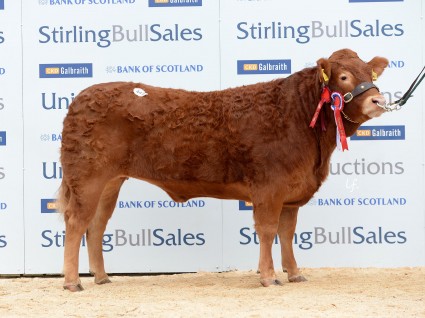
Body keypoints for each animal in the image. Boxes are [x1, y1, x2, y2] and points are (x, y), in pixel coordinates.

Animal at [58, 47, 388, 290]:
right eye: (343, 76)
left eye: (371, 74)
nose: (378, 99)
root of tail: (83, 96)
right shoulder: (269, 187)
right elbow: (268, 230)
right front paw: (268, 276)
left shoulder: (291, 193)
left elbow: (287, 232)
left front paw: (294, 273)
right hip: (87, 178)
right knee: (76, 223)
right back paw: (73, 282)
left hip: (110, 182)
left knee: (96, 225)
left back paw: (102, 277)